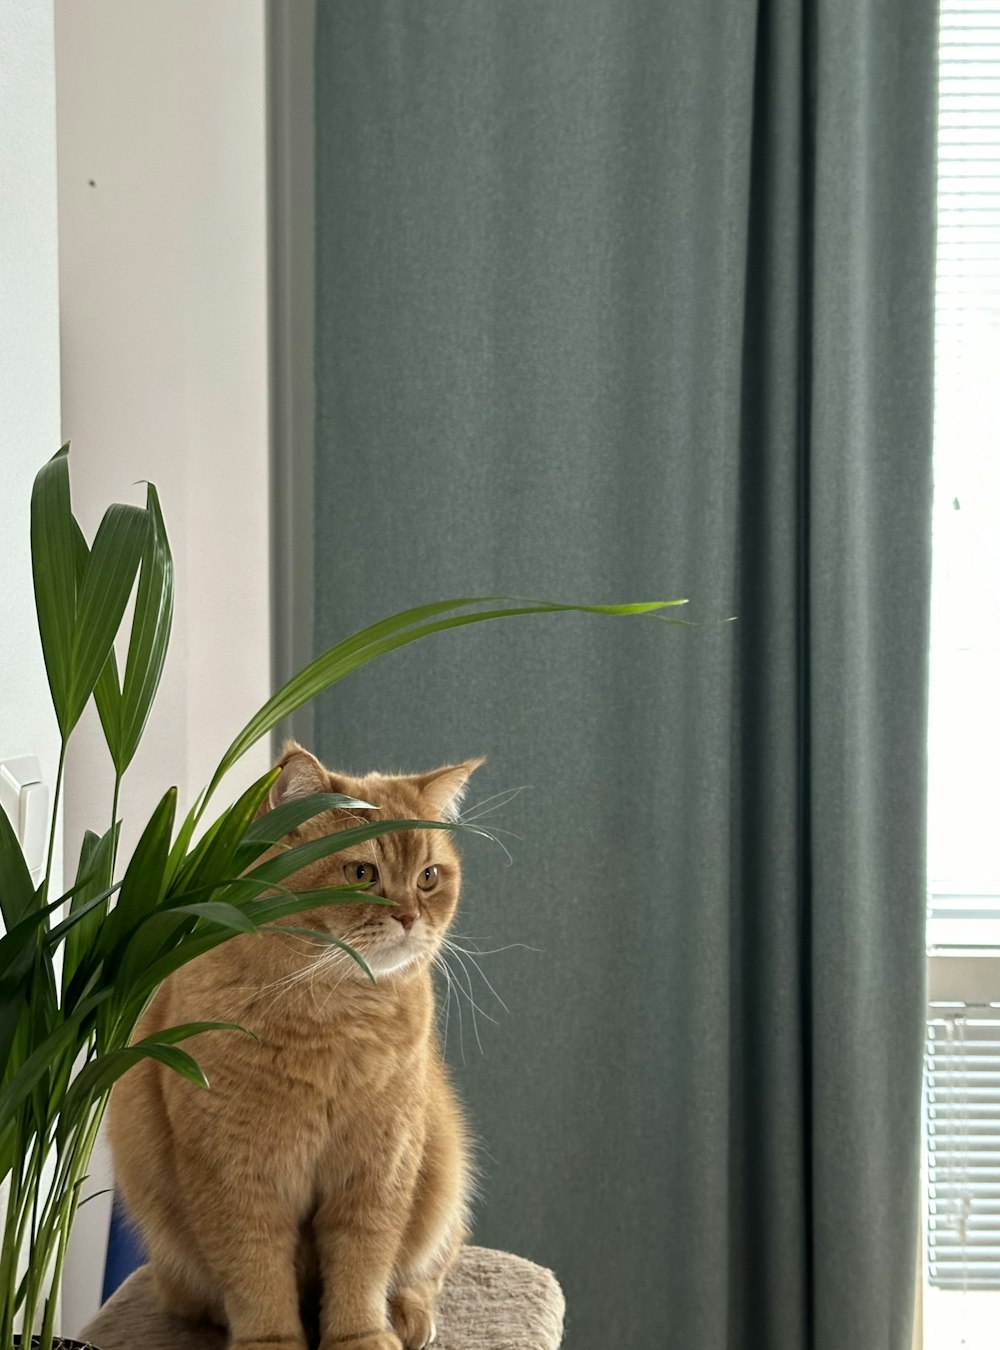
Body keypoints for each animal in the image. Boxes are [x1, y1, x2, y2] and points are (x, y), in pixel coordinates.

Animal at [109, 750, 483, 1350]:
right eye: (361, 873)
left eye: (428, 877)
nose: (409, 916)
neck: (334, 1023)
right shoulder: (235, 1176)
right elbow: (256, 1272)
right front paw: (272, 1341)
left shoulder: (379, 1169)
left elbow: (363, 1263)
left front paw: (362, 1335)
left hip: (444, 1179)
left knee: (427, 1270)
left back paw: (408, 1317)